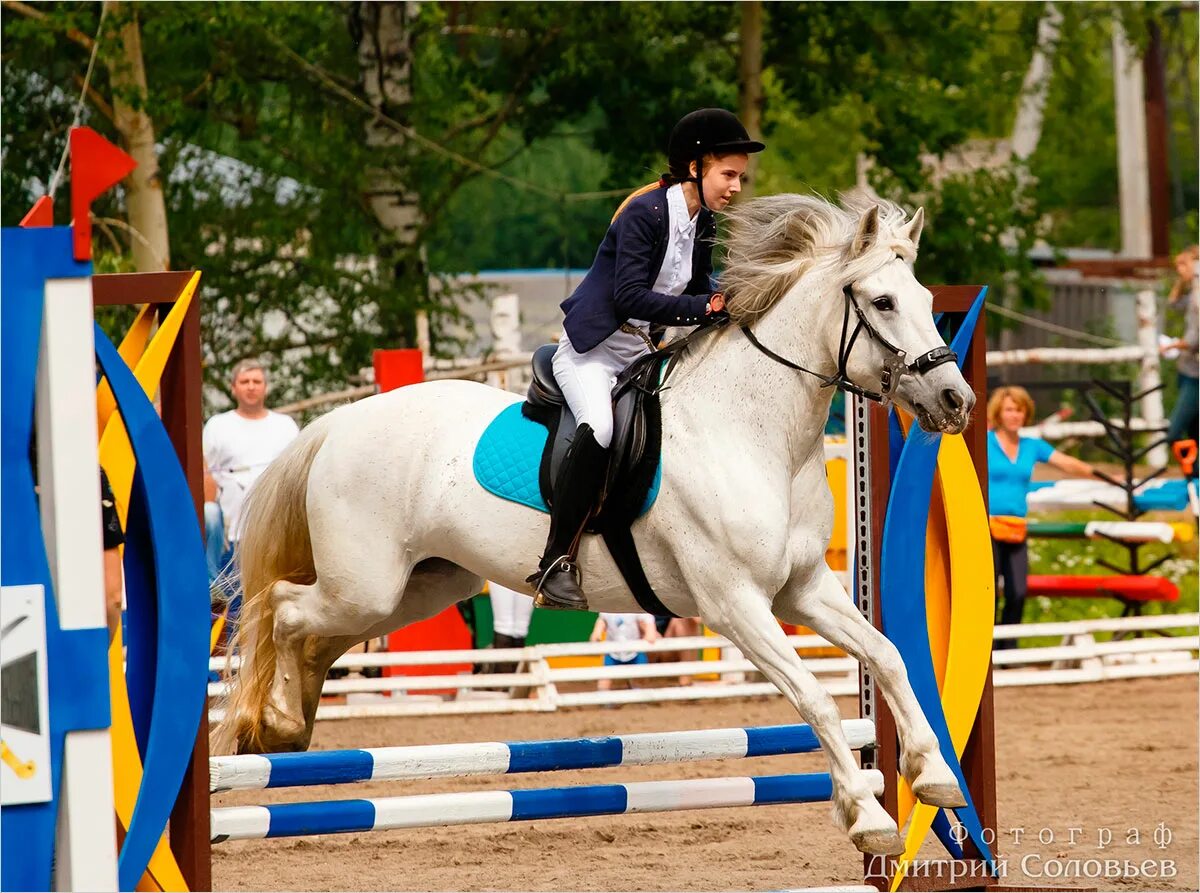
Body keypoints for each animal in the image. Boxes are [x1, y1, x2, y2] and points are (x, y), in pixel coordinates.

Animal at [213, 192, 974, 854]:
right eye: (882, 302)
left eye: (929, 301)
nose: (955, 400)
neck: (755, 430)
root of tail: (337, 422)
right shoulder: (735, 604)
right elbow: (815, 696)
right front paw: (869, 815)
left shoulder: (804, 588)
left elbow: (887, 655)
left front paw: (933, 774)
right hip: (365, 583)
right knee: (282, 608)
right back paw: (273, 718)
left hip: (419, 588)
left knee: (315, 635)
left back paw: (284, 726)